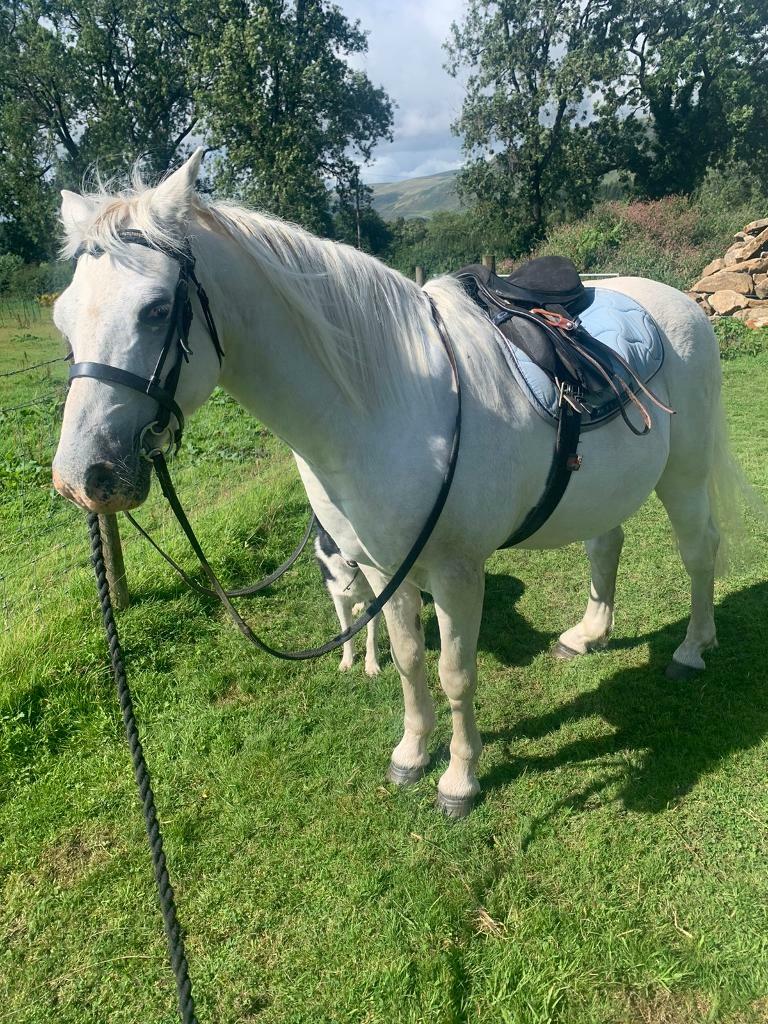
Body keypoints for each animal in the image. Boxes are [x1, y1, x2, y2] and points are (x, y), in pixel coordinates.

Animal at [52, 148, 742, 817]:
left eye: (156, 310)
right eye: (63, 319)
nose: (84, 476)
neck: (387, 403)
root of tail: (678, 301)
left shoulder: (458, 571)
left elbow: (456, 671)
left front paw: (460, 780)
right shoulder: (384, 566)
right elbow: (409, 658)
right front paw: (412, 754)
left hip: (684, 475)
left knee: (698, 550)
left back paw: (692, 649)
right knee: (606, 543)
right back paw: (587, 636)